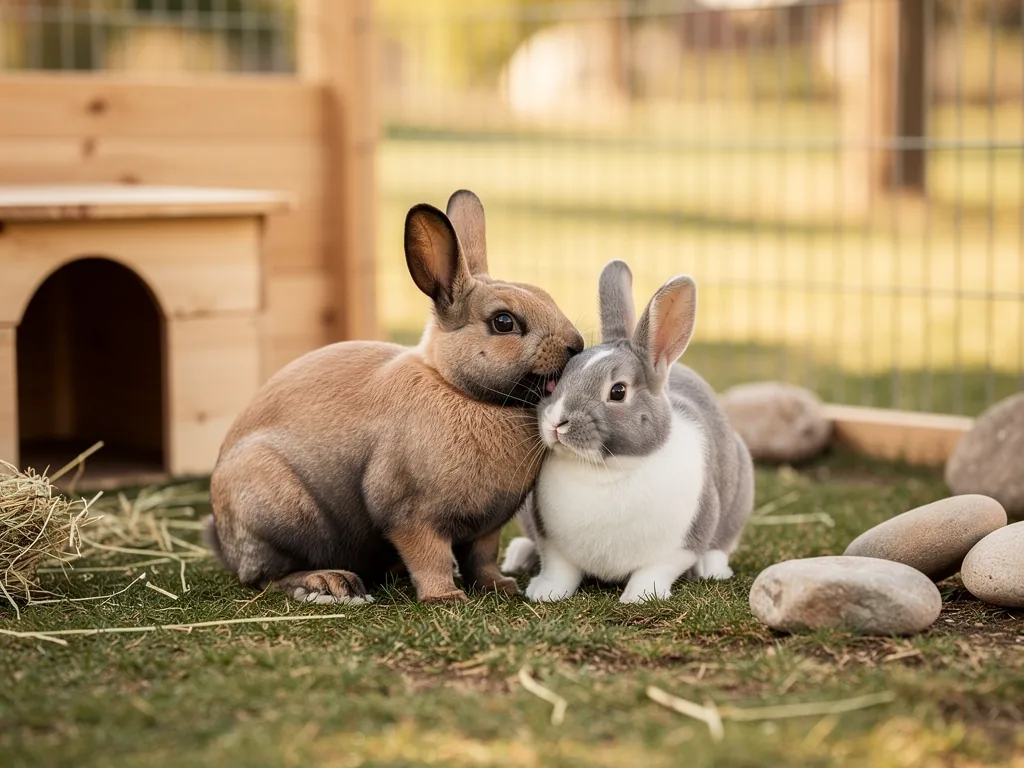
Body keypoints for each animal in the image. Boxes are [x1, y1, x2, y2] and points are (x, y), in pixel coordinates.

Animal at [207, 190, 584, 605]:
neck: (460, 390)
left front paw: (499, 586)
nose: (577, 345)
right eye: (504, 322)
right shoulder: (411, 515)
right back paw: (329, 582)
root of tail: (223, 539)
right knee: (264, 577)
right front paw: (445, 597)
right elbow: (429, 557)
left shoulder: (486, 530)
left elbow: (481, 558)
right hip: (278, 514)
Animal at [504, 260, 754, 604]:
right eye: (557, 380)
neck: (606, 469)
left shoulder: (682, 543)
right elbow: (559, 568)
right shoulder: (551, 542)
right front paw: (544, 593)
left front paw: (639, 596)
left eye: (618, 391)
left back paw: (711, 568)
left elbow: (656, 570)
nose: (556, 422)